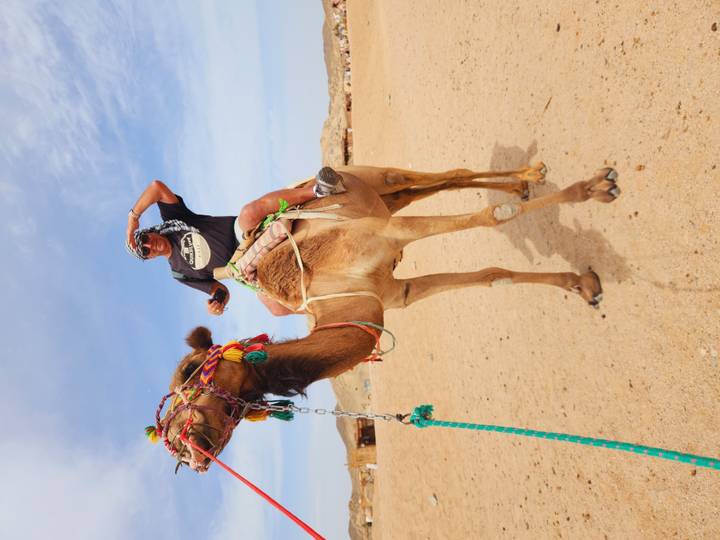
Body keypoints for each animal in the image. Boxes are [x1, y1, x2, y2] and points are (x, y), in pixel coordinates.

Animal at [153, 163, 620, 471]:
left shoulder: (388, 233)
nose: (188, 453)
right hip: (388, 200)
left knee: (446, 172)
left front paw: (592, 189)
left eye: (190, 373)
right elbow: (492, 275)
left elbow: (490, 218)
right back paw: (523, 183)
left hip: (380, 181)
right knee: (445, 181)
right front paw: (583, 284)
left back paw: (537, 176)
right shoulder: (397, 293)